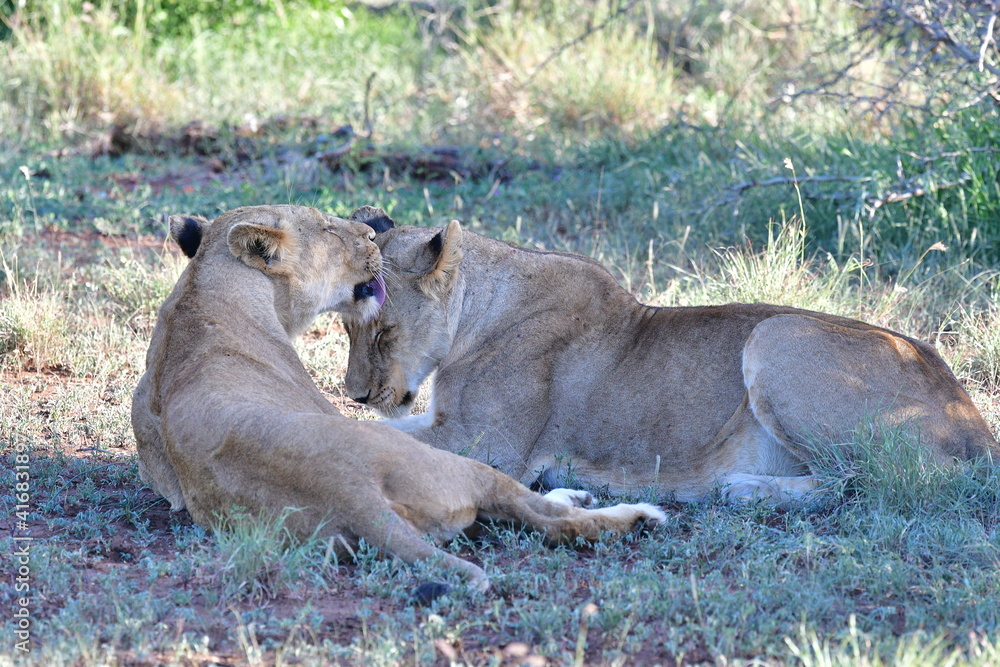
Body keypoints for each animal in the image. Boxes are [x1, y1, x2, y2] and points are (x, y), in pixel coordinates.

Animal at [131, 205, 665, 590]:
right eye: (328, 227)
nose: (371, 236)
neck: (202, 292)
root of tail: (350, 495)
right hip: (460, 467)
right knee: (550, 518)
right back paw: (635, 515)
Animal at [343, 219, 998, 504]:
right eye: (347, 326)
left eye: (383, 332)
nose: (356, 393)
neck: (475, 314)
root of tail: (972, 418)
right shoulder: (445, 423)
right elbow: (382, 429)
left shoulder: (490, 448)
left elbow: (381, 437)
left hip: (777, 335)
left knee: (869, 480)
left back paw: (739, 488)